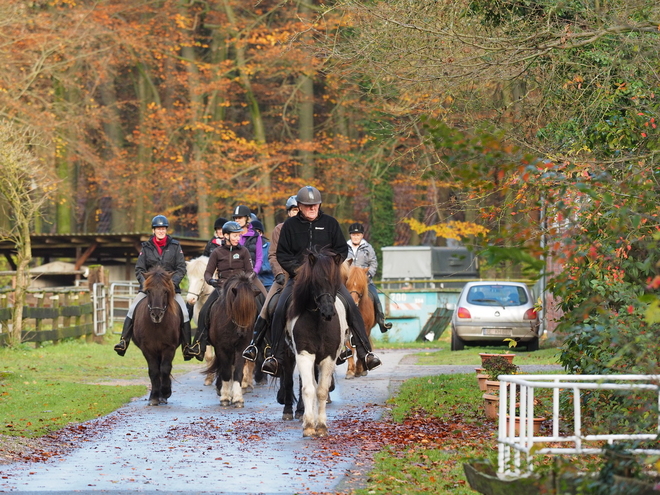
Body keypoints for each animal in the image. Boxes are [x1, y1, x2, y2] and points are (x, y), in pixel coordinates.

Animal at [132, 268, 182, 406]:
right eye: (149, 291)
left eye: (165, 291)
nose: (156, 315)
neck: (156, 326)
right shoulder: (147, 349)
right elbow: (154, 371)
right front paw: (154, 397)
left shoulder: (169, 348)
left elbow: (165, 369)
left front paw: (165, 392)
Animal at [205, 274, 262, 408]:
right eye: (236, 309)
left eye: (253, 311)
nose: (242, 334)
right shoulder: (221, 348)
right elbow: (226, 372)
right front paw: (225, 398)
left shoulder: (241, 348)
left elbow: (237, 372)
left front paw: (237, 398)